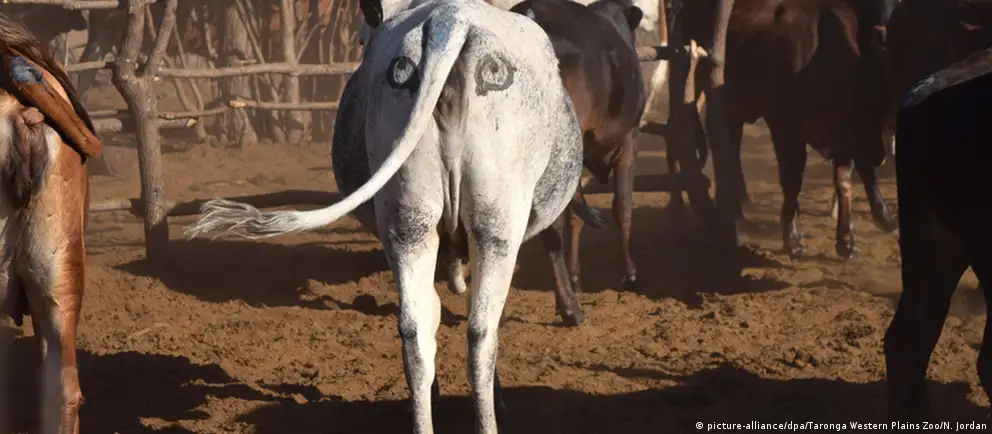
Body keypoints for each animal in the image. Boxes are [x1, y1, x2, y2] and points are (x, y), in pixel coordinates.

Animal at [673, 0, 899, 259]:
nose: (879, 155)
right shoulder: (784, 128)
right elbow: (792, 181)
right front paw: (793, 237)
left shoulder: (842, 136)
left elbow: (846, 180)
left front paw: (848, 238)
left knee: (733, 142)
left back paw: (740, 203)